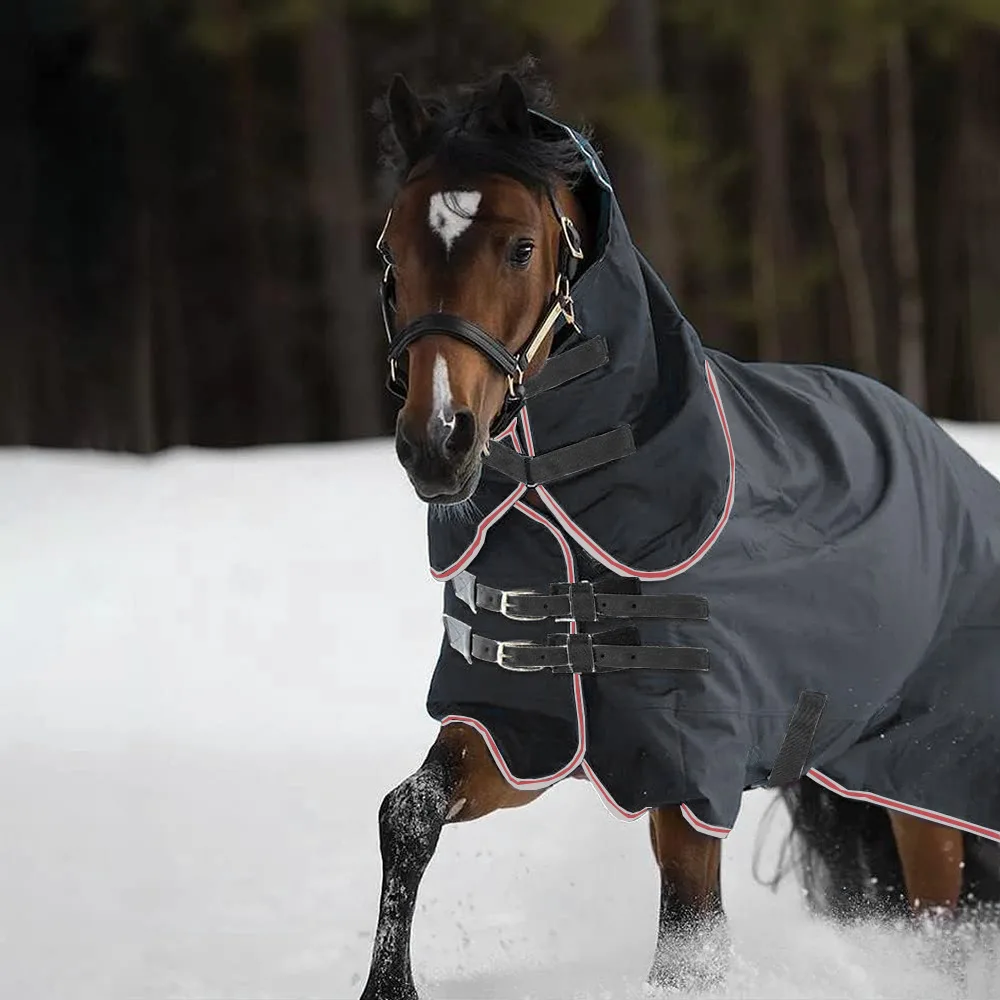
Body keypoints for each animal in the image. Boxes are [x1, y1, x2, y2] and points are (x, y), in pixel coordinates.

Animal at [358, 66, 1000, 998]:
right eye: (391, 253)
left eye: (520, 248)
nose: (437, 443)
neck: (570, 519)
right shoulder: (527, 730)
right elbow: (406, 814)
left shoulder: (692, 773)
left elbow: (687, 945)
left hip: (929, 776)